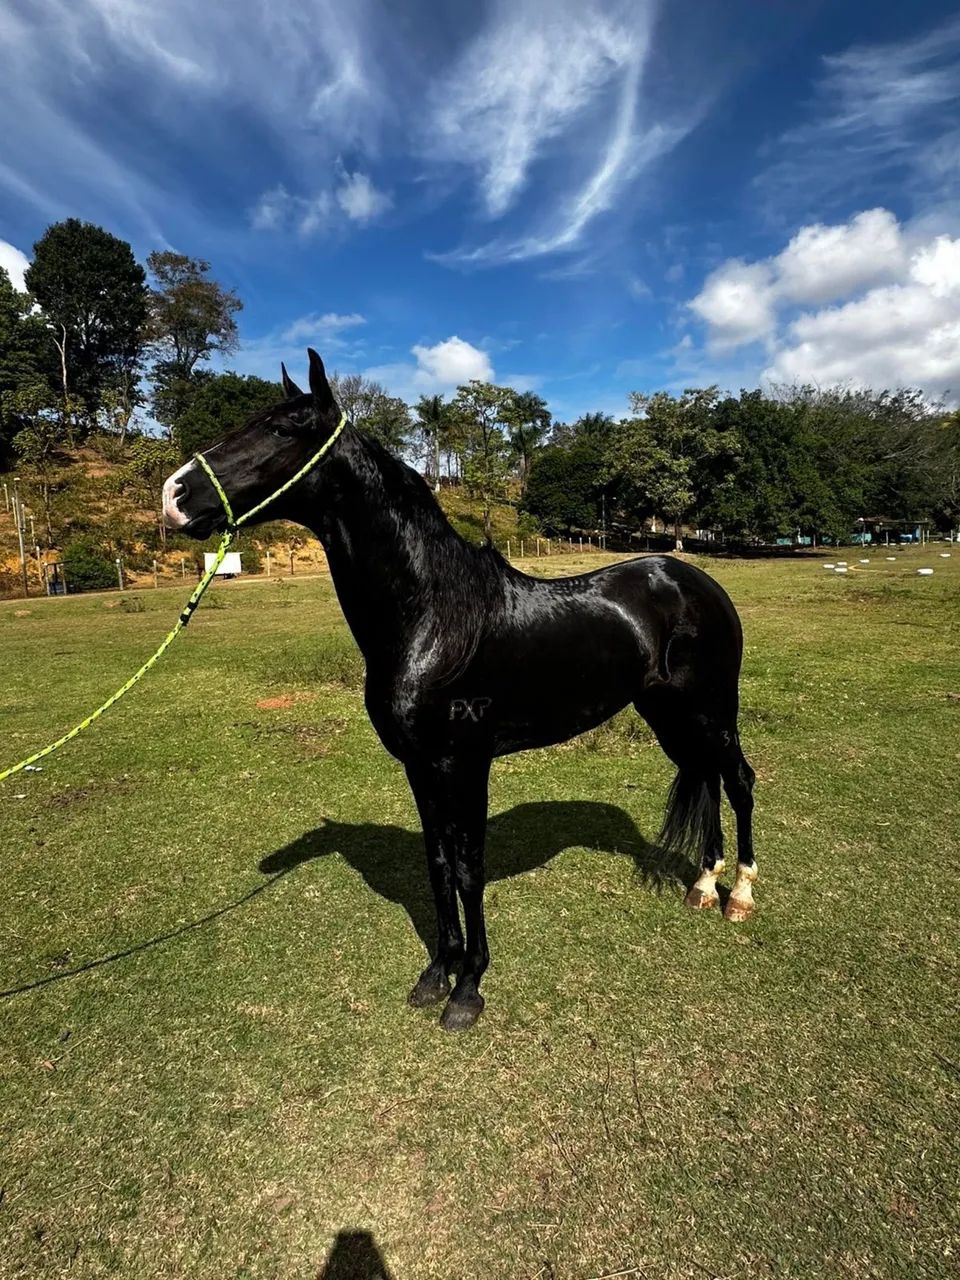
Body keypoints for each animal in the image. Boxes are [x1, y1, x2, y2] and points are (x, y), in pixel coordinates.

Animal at [162, 348, 757, 1031]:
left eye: (283, 429)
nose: (175, 496)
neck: (433, 617)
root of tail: (692, 577)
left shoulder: (466, 763)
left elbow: (470, 869)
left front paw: (468, 988)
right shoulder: (420, 765)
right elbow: (438, 863)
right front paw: (436, 973)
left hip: (711, 711)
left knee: (738, 780)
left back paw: (739, 895)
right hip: (670, 715)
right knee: (706, 776)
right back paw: (702, 887)